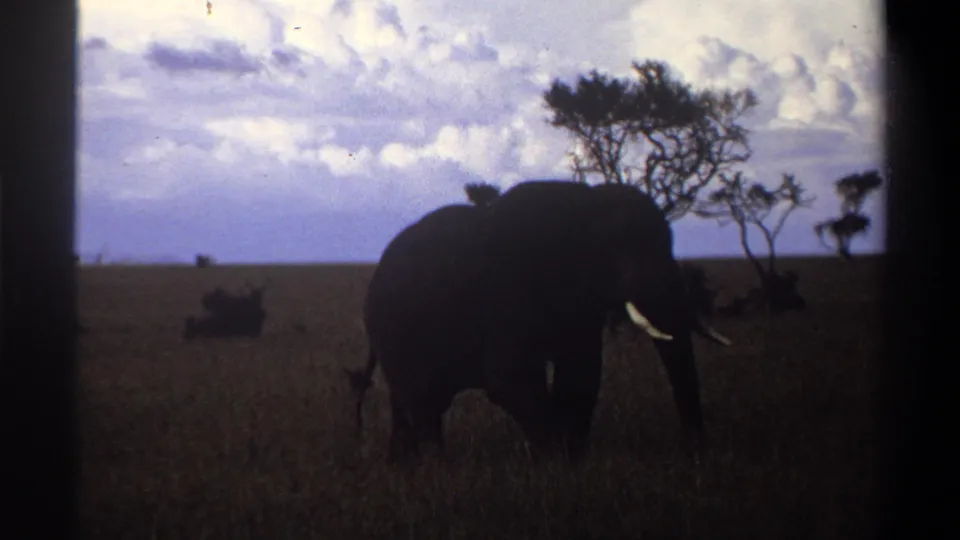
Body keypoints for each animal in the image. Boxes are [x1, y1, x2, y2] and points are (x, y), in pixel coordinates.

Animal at [345, 180, 732, 463]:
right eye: (620, 254)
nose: (695, 454)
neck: (585, 203)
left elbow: (581, 374)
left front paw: (575, 459)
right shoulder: (504, 290)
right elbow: (510, 378)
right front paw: (558, 463)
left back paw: (404, 469)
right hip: (395, 328)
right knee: (423, 402)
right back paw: (436, 469)